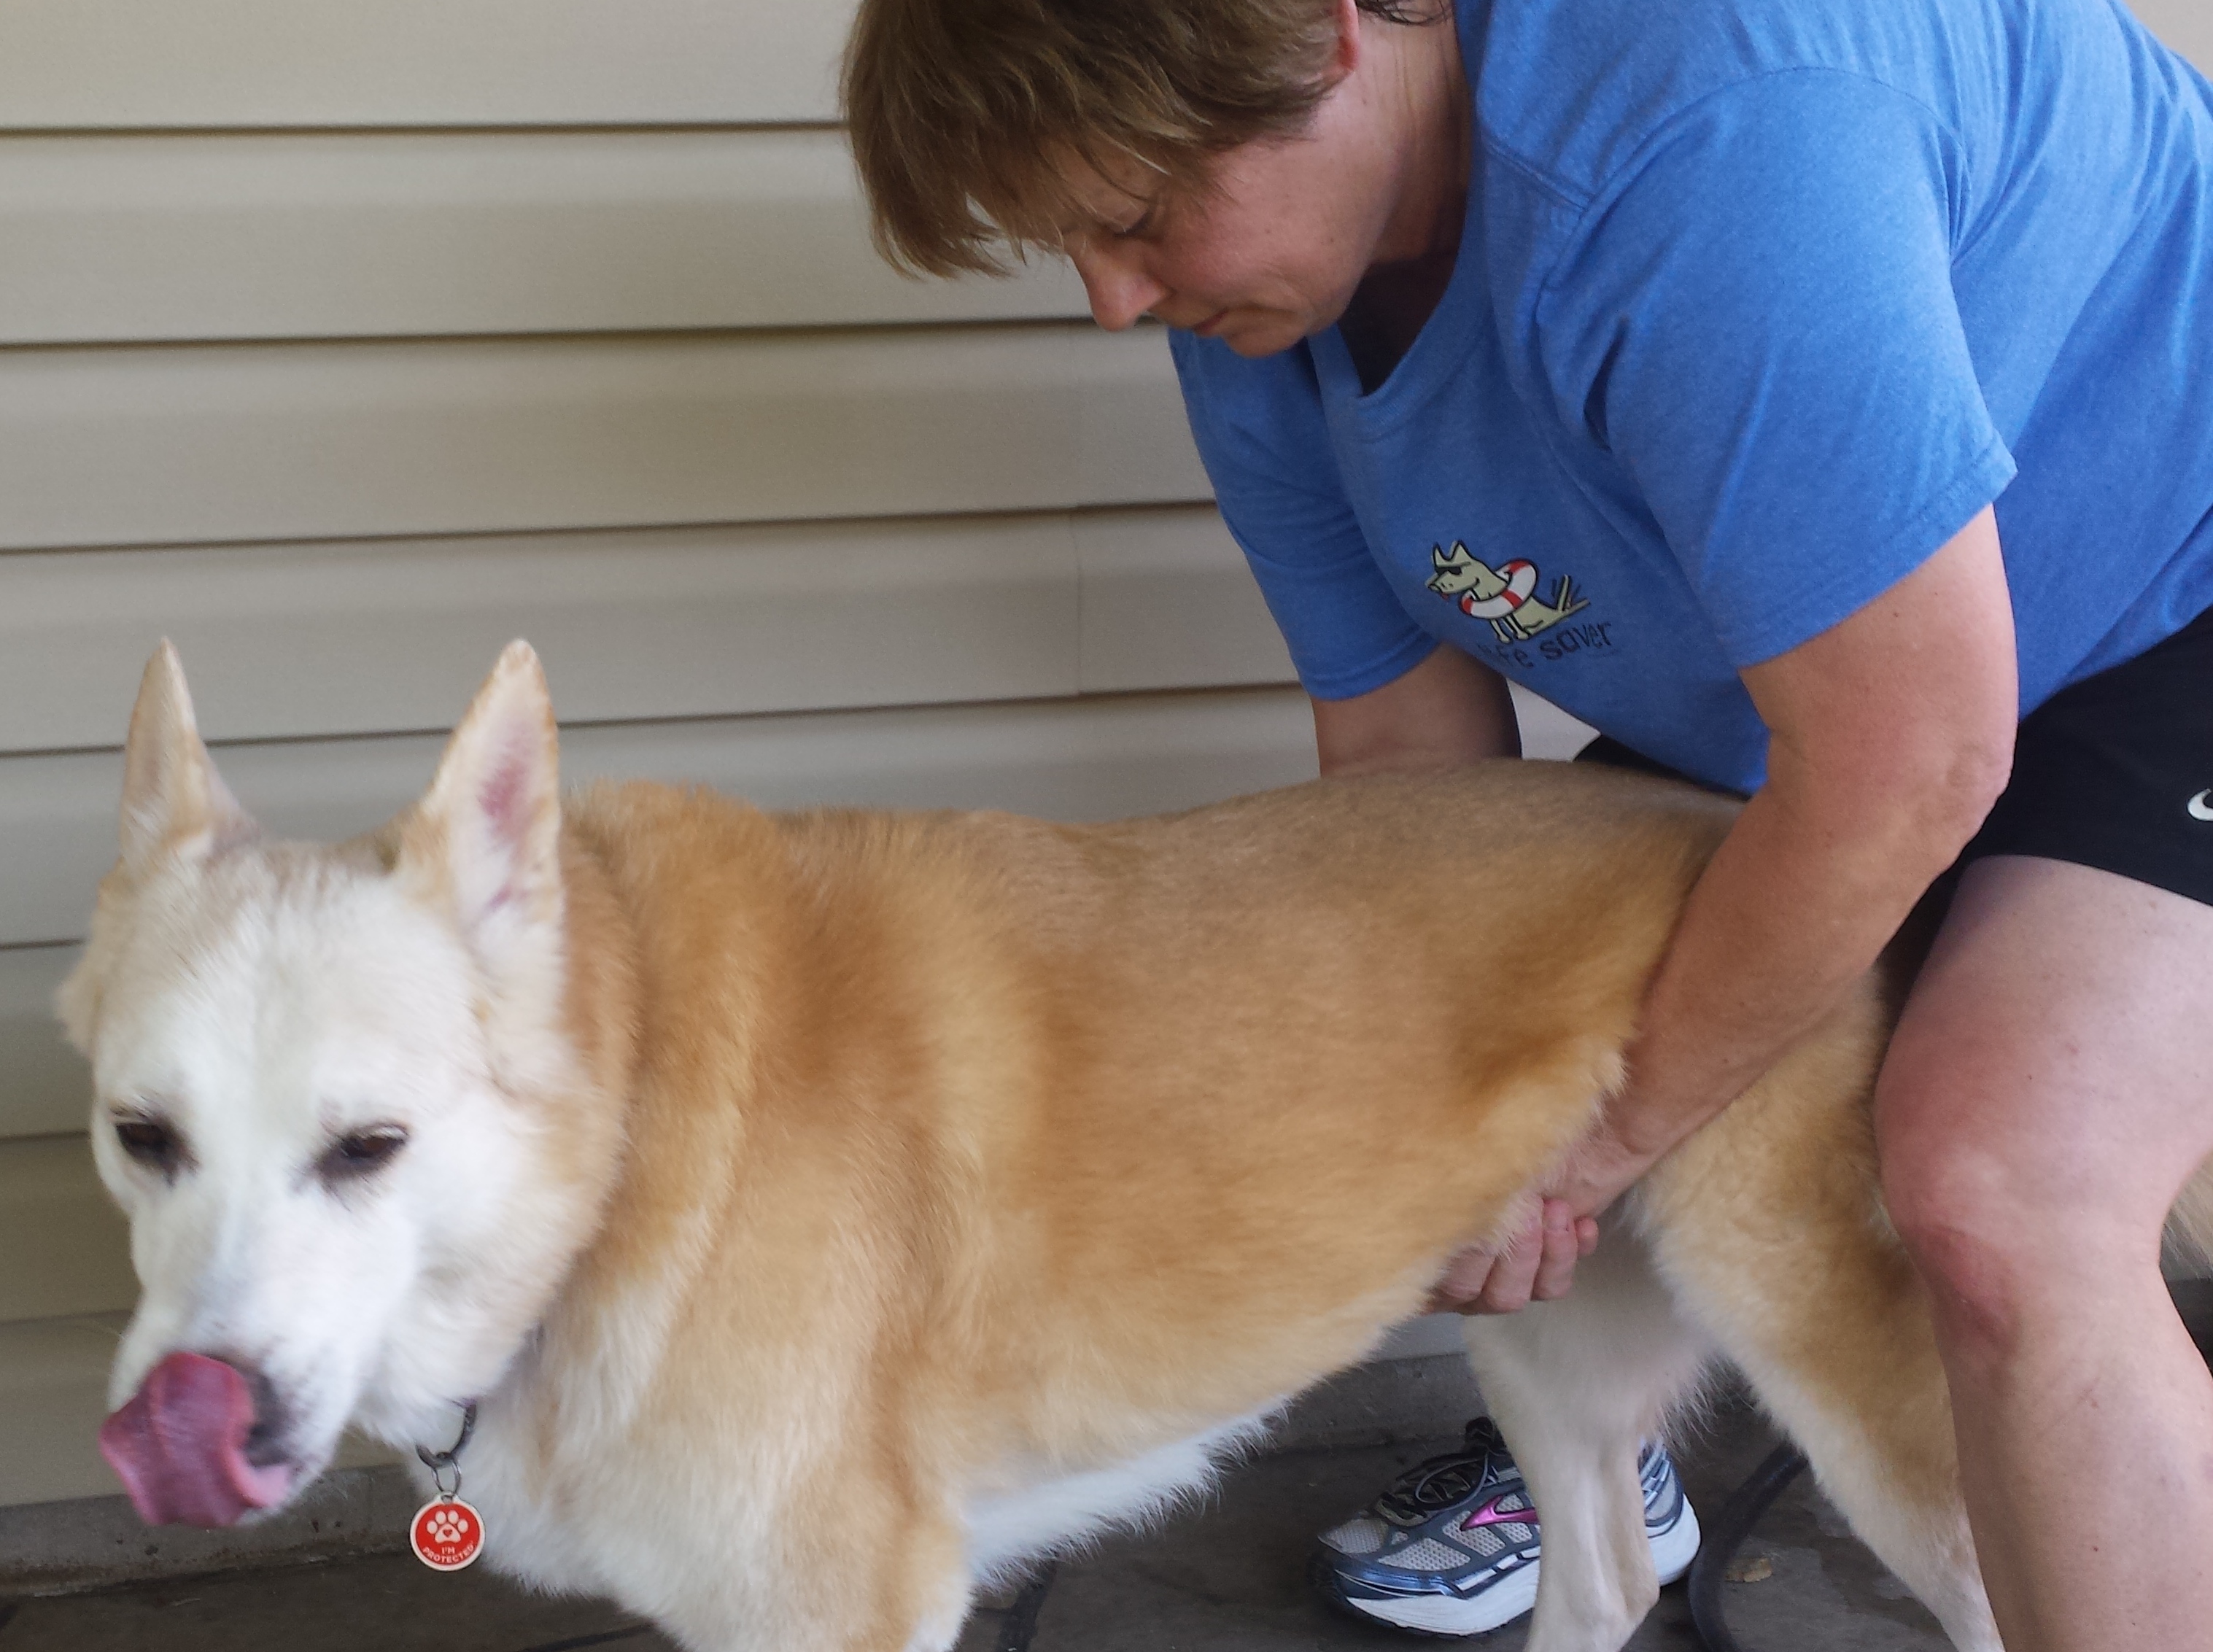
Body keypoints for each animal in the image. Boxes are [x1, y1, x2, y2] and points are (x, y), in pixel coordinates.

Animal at [61, 641, 2213, 1652]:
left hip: (1867, 1394)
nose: (188, 1421)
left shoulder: (850, 1612)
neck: (637, 1132)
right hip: (1536, 1329)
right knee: (1604, 1578)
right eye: (143, 1138)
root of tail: (1732, 815)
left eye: (369, 1146)